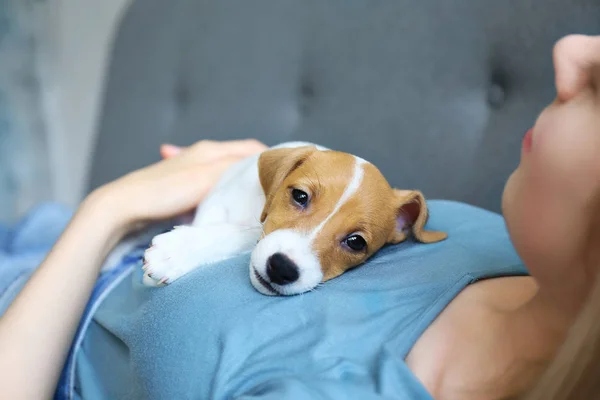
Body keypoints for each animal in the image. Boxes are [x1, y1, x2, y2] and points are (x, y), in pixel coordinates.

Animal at [143, 142, 448, 296]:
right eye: (300, 196)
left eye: (356, 242)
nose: (282, 268)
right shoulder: (218, 204)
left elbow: (246, 232)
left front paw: (178, 252)